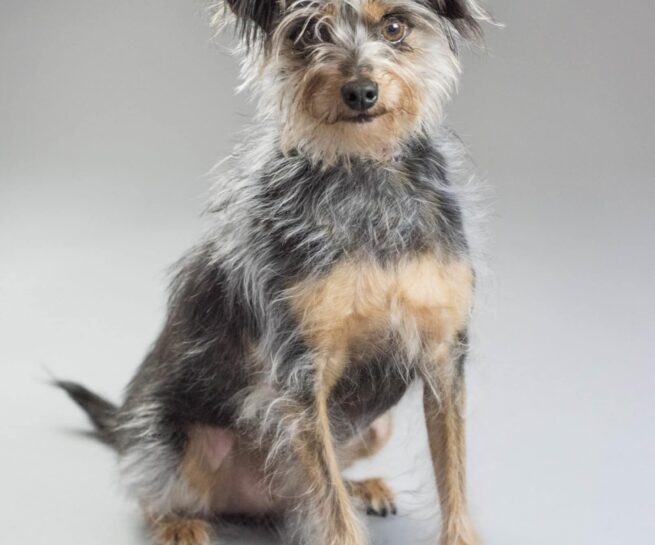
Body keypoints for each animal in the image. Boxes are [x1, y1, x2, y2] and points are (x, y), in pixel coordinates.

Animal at [59, 1, 492, 544]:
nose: (360, 91)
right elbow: (333, 515)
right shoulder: (300, 374)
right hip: (172, 440)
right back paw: (177, 522)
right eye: (308, 32)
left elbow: (452, 478)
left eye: (394, 27)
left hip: (375, 427)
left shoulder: (443, 356)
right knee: (147, 487)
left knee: (325, 484)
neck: (363, 172)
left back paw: (362, 487)